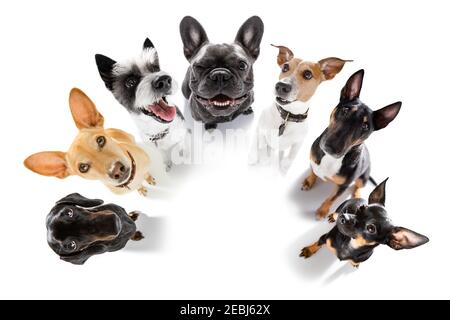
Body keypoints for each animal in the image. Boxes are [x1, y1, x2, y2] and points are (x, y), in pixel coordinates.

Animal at [24, 89, 156, 196]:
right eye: (83, 167)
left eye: (100, 140)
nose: (116, 169)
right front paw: (141, 188)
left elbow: (147, 174)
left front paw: (149, 178)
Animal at [95, 38, 190, 171]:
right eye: (130, 82)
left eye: (155, 68)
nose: (163, 80)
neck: (159, 130)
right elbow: (163, 155)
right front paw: (166, 163)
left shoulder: (182, 132)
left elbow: (182, 145)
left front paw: (183, 155)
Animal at [248, 44, 350, 172]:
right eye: (285, 67)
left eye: (308, 74)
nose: (281, 86)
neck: (287, 116)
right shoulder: (261, 132)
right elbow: (261, 149)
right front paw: (263, 161)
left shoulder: (298, 143)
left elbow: (291, 157)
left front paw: (284, 166)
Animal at [298, 180, 428, 268]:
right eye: (360, 209)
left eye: (371, 228)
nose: (344, 216)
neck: (350, 245)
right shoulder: (325, 238)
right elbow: (317, 243)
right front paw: (309, 250)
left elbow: (355, 261)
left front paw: (355, 263)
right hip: (340, 208)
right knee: (335, 213)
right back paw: (333, 216)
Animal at [302, 69, 400, 220]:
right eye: (345, 110)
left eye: (365, 126)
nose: (331, 147)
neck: (331, 160)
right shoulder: (313, 159)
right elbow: (313, 170)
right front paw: (309, 180)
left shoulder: (343, 185)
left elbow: (332, 198)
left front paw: (322, 211)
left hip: (363, 176)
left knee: (359, 186)